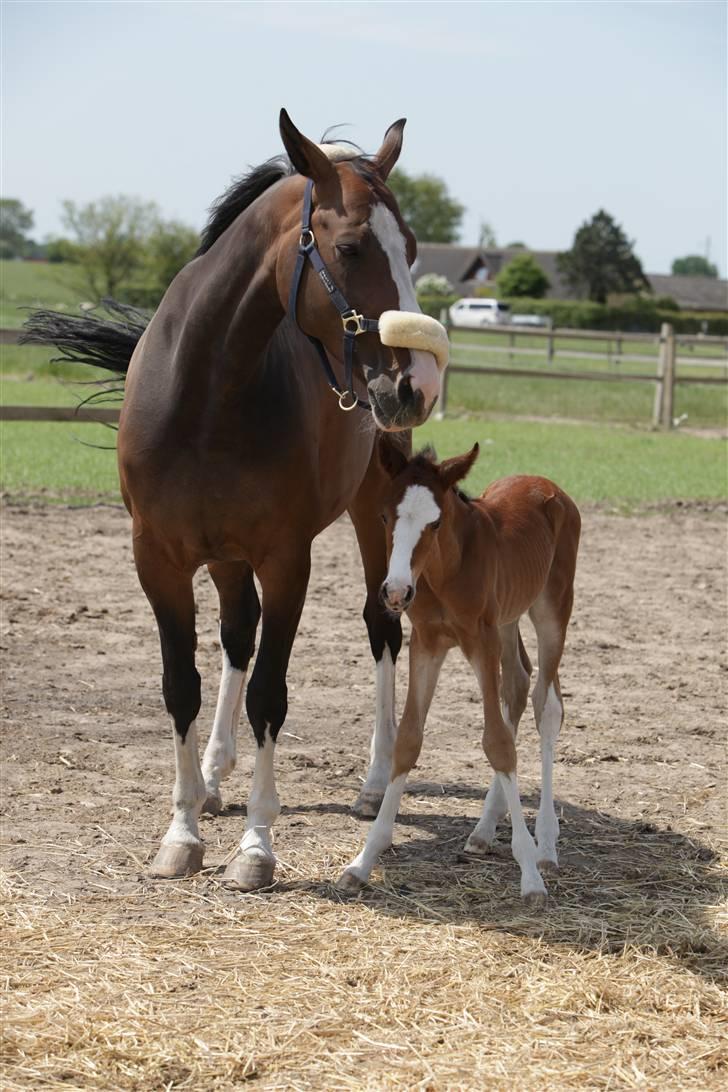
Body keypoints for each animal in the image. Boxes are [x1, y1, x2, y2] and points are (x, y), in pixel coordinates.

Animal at [338, 443, 585, 904]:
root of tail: (547, 484)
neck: (444, 572)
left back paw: (546, 846)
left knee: (546, 705)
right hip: (508, 619)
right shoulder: (427, 644)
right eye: (384, 516)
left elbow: (498, 743)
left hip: (552, 610)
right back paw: (484, 831)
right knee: (517, 685)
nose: (395, 592)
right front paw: (362, 862)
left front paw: (530, 877)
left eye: (435, 522)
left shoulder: (481, 641)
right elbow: (409, 740)